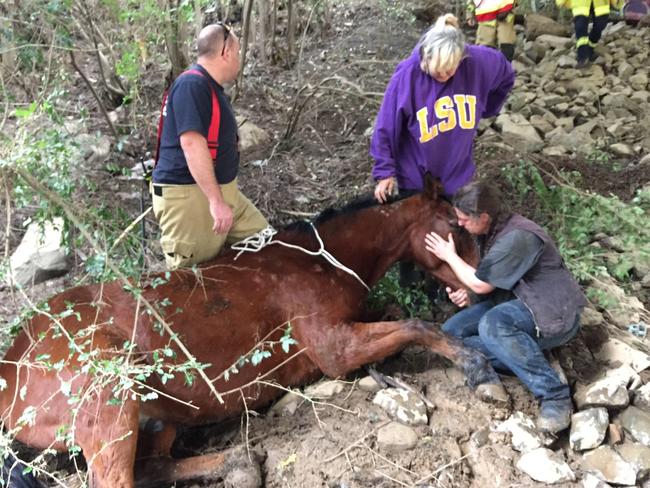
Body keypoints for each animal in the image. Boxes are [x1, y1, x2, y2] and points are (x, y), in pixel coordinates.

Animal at [0, 177, 496, 486]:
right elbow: (416, 325)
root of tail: (12, 364)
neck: (321, 259)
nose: (479, 286)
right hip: (111, 395)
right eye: (452, 227)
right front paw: (473, 363)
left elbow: (396, 315)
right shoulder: (333, 348)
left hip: (155, 414)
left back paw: (238, 461)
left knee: (154, 467)